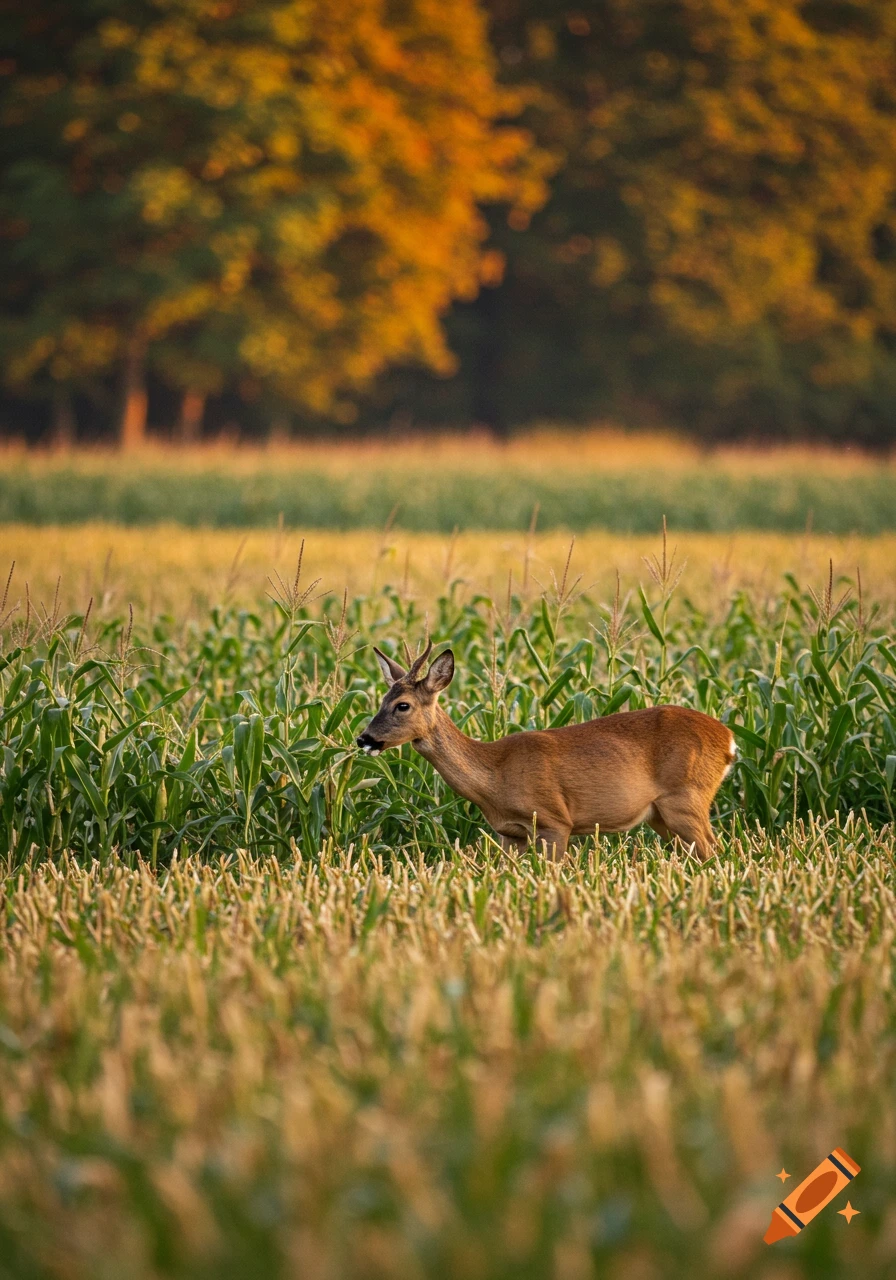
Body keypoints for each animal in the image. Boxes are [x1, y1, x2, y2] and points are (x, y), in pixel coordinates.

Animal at [356, 639, 737, 861]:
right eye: (382, 699)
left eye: (402, 705)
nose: (364, 738)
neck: (495, 774)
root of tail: (729, 739)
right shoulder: (510, 833)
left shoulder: (554, 821)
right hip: (661, 814)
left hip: (686, 798)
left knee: (715, 851)